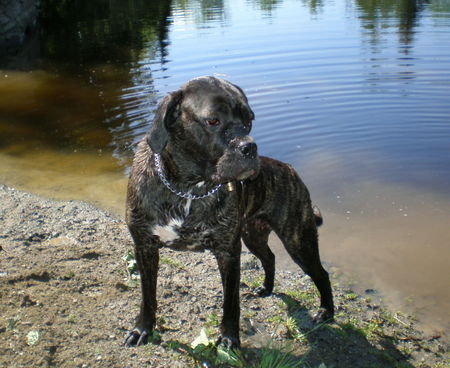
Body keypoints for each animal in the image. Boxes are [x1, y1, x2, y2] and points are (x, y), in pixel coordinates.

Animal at [125, 77, 332, 348]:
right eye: (213, 121)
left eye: (249, 120)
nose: (250, 147)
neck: (188, 189)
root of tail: (288, 168)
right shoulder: (144, 246)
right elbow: (147, 295)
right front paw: (143, 328)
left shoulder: (229, 253)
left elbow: (230, 302)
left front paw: (229, 338)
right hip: (254, 236)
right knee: (270, 258)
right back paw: (267, 288)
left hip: (298, 241)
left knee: (321, 274)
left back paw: (327, 311)